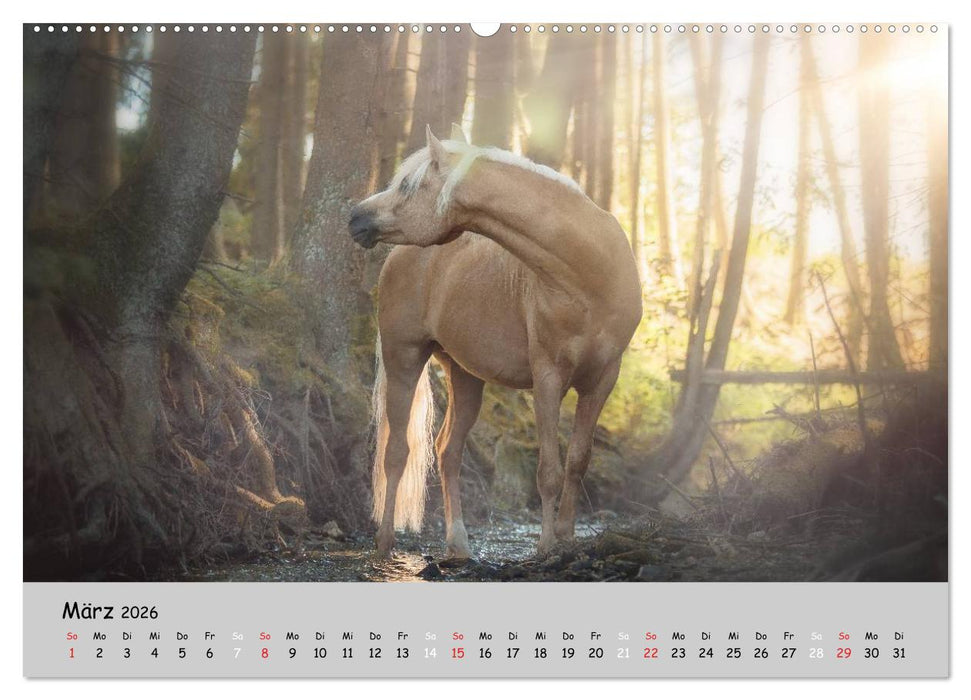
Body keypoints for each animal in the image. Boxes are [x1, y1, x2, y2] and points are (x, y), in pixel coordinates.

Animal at [348, 125, 642, 559]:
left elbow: (577, 462)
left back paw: (458, 543)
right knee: (397, 452)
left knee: (447, 451)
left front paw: (567, 539)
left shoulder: (603, 379)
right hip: (404, 357)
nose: (355, 217)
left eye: (405, 185)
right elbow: (549, 470)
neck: (589, 274)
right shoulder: (548, 378)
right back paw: (385, 543)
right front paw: (546, 547)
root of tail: (400, 257)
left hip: (464, 375)